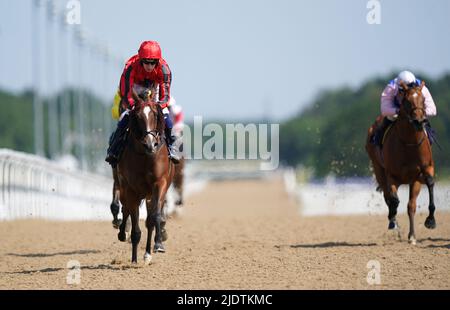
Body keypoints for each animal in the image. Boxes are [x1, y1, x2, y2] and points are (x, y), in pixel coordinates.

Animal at [116, 88, 174, 264]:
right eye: (137, 116)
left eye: (155, 115)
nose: (150, 144)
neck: (145, 157)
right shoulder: (131, 189)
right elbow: (134, 220)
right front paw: (134, 259)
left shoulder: (159, 184)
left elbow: (154, 218)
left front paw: (155, 247)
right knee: (126, 209)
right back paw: (122, 233)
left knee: (150, 219)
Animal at [366, 80, 436, 245]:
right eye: (407, 101)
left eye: (423, 99)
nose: (419, 121)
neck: (409, 143)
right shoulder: (391, 175)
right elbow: (394, 200)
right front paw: (393, 220)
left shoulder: (422, 172)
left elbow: (427, 187)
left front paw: (429, 222)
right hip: (379, 170)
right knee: (388, 197)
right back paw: (393, 221)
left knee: (407, 204)